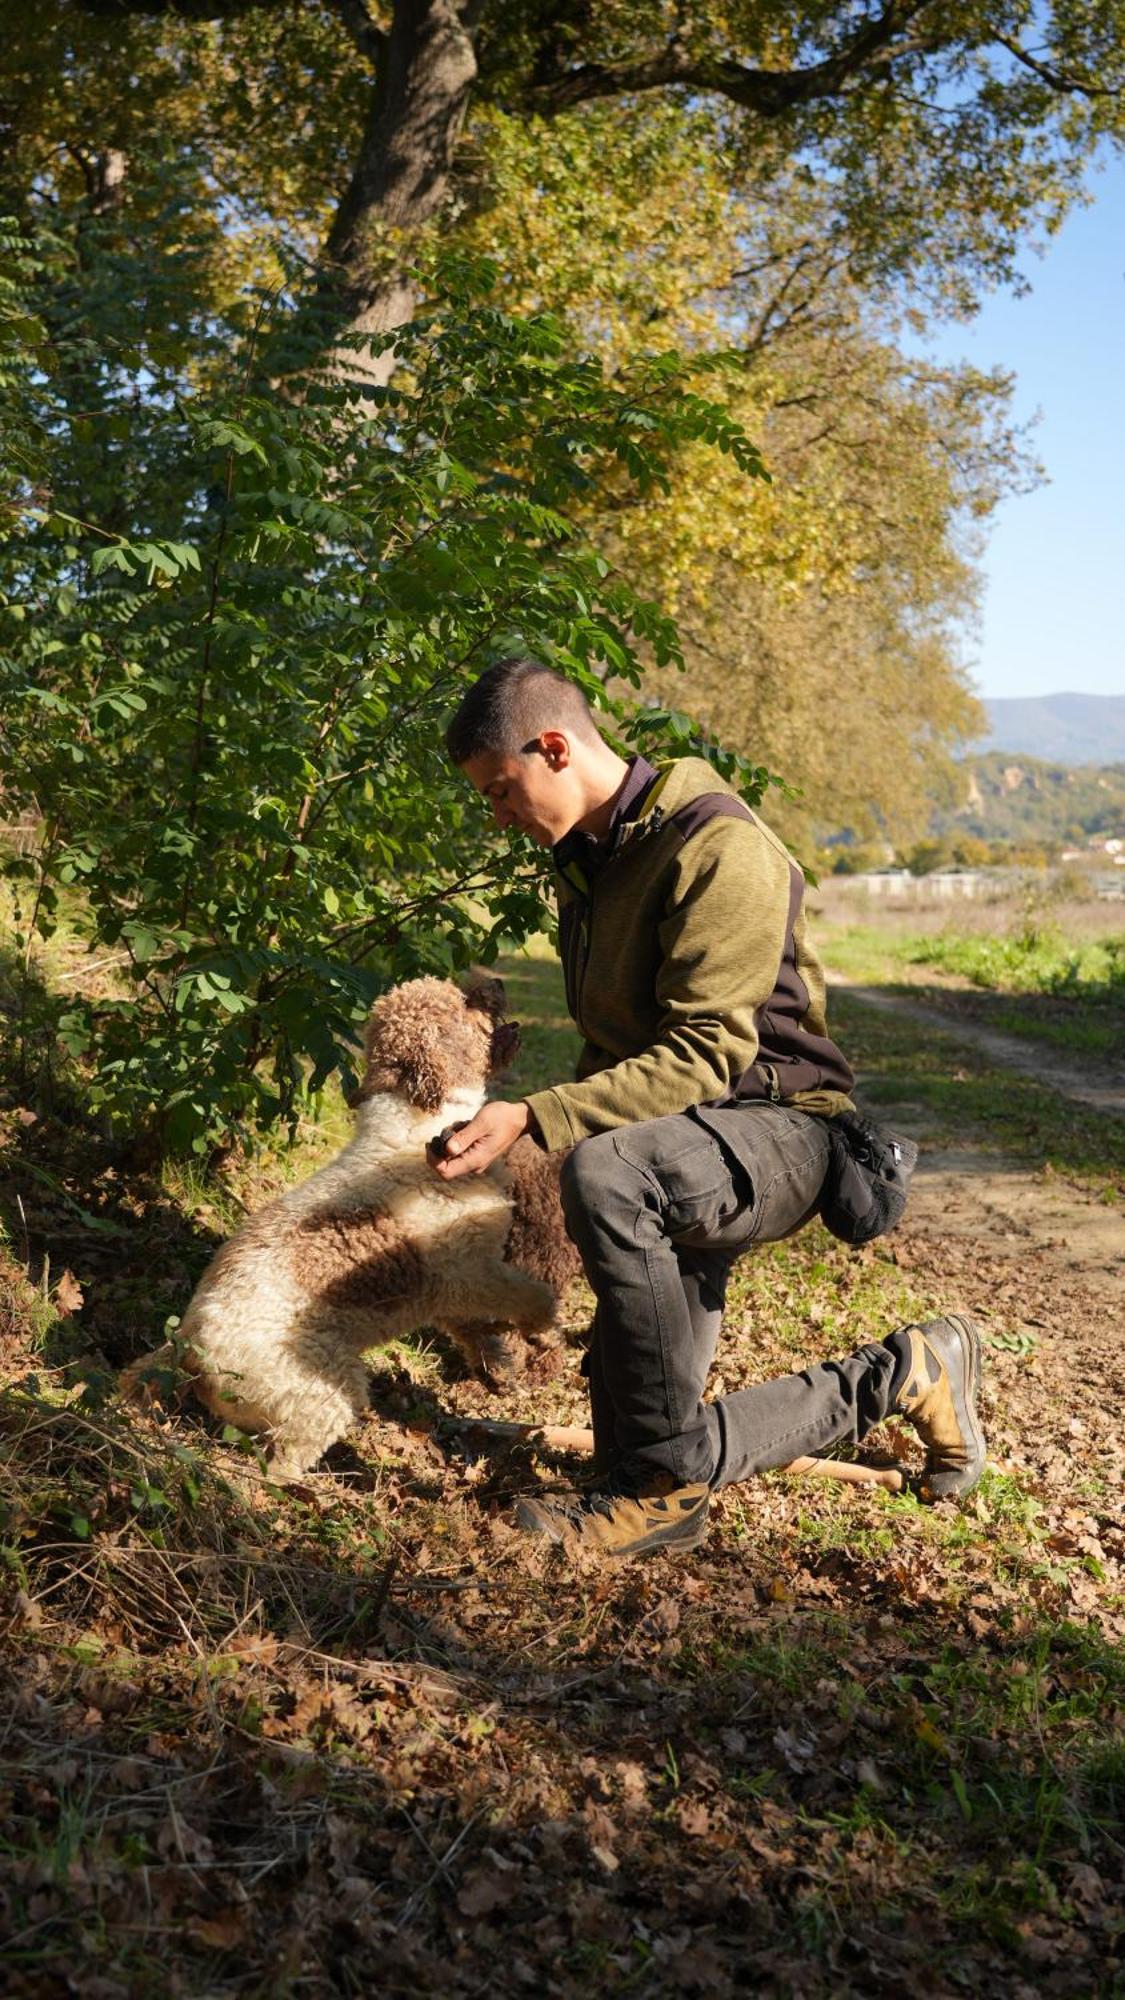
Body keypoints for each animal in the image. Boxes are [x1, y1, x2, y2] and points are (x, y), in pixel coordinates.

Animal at [127, 976, 572, 1480]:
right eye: (461, 1000)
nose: (495, 982)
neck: (423, 1124)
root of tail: (186, 1346)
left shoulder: (448, 1292)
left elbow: (478, 1331)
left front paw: (504, 1363)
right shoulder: (469, 1272)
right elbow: (532, 1295)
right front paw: (545, 1329)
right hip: (321, 1391)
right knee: (280, 1461)